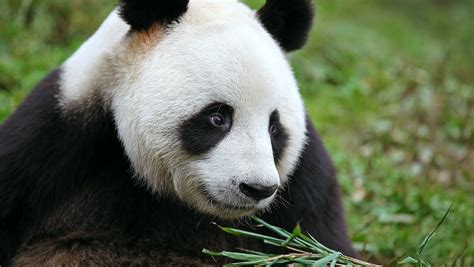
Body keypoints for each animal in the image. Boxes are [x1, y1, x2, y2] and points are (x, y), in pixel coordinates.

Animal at [0, 0, 356, 266]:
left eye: (274, 127)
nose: (258, 188)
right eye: (217, 118)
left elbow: (324, 247)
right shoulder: (52, 142)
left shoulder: (306, 186)